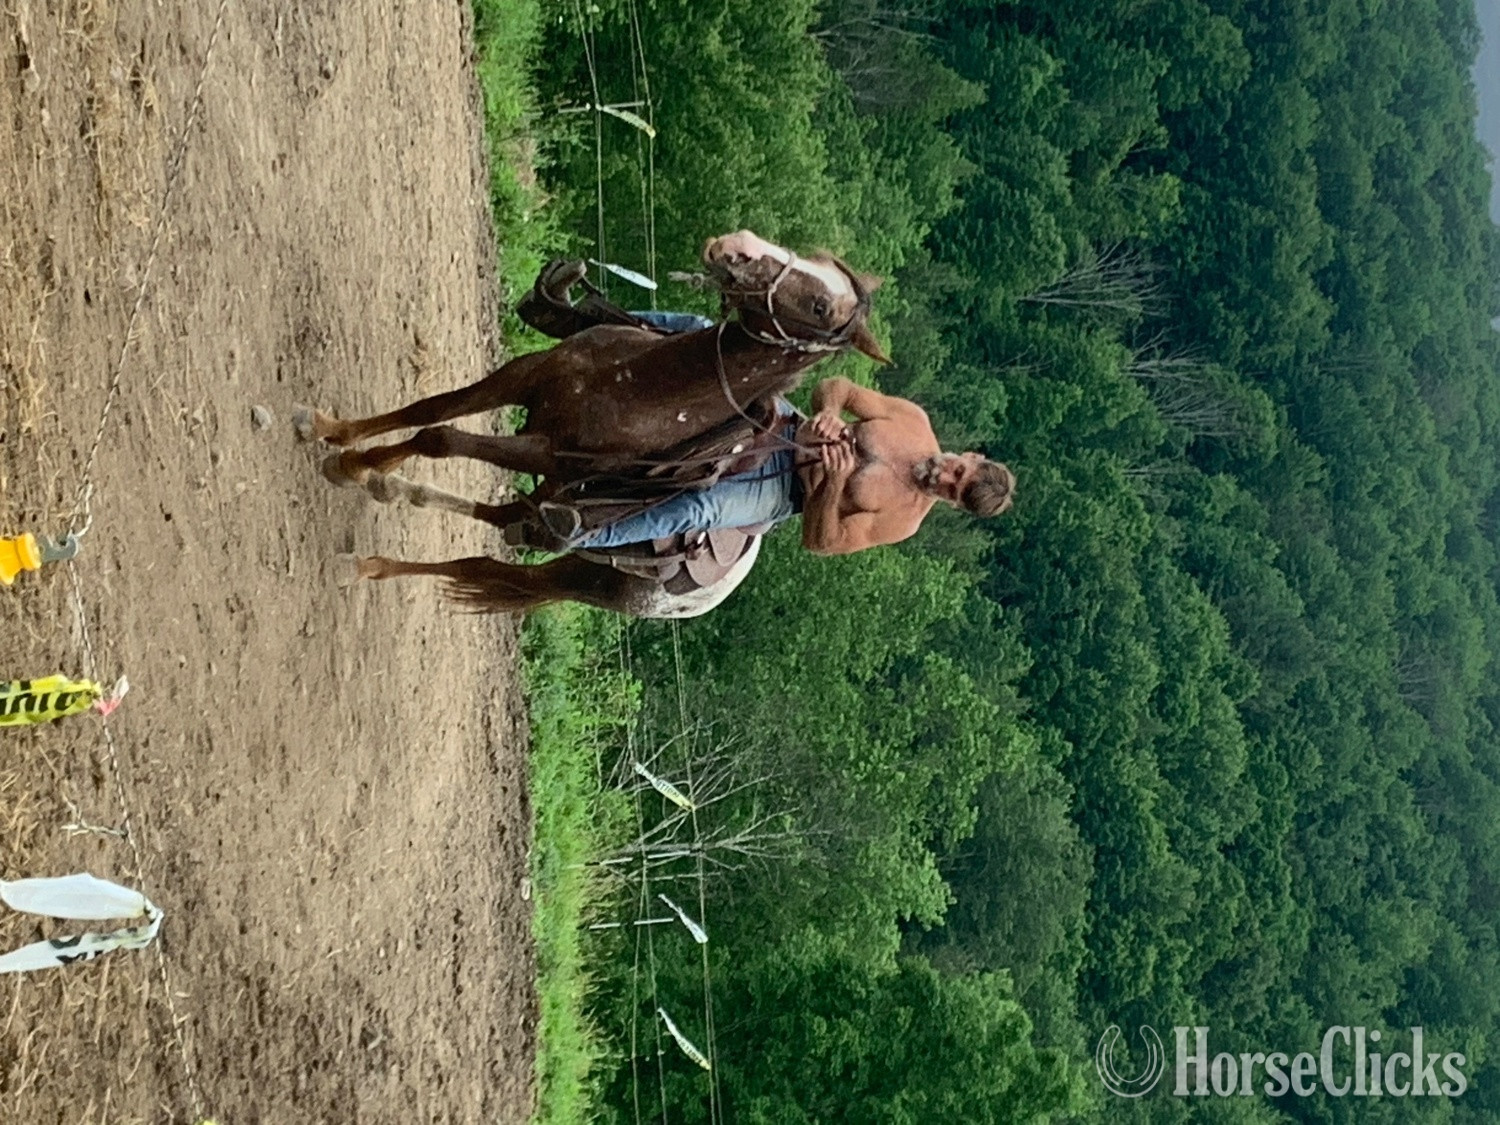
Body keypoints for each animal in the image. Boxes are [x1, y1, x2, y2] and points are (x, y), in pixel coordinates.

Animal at [300, 229, 884, 615]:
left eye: (821, 306)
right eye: (808, 257)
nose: (734, 247)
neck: (647, 383)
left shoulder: (548, 451)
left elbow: (439, 438)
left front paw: (351, 467)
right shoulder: (525, 375)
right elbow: (431, 410)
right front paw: (332, 432)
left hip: (587, 579)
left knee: (488, 562)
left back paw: (368, 553)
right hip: (559, 514)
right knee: (505, 523)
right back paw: (391, 510)